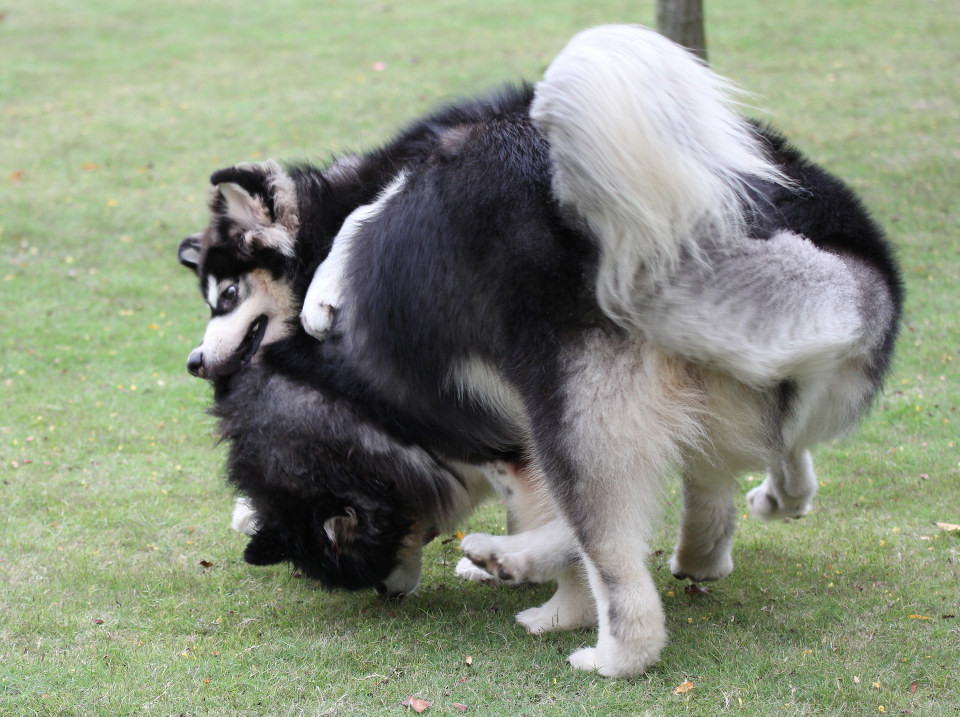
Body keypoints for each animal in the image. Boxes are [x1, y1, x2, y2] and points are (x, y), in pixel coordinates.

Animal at [178, 26, 900, 676]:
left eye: (226, 295)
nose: (195, 362)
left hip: (574, 411)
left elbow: (366, 221)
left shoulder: (428, 165)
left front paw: (324, 294)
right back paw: (717, 534)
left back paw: (602, 645)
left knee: (611, 550)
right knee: (725, 468)